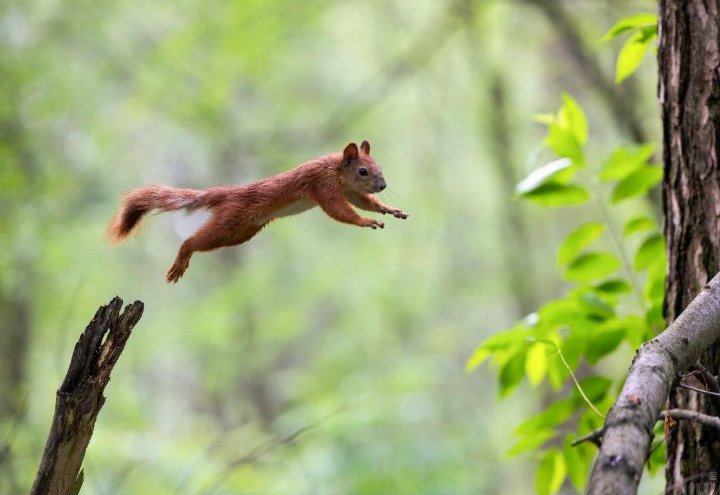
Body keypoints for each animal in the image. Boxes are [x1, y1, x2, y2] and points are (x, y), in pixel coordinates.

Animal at [107, 141, 410, 284]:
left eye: (379, 166)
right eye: (363, 171)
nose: (383, 185)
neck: (335, 169)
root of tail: (230, 193)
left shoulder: (349, 191)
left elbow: (363, 200)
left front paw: (388, 209)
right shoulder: (322, 185)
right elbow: (340, 211)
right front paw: (366, 221)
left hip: (241, 233)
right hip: (229, 222)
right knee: (193, 241)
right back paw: (181, 258)